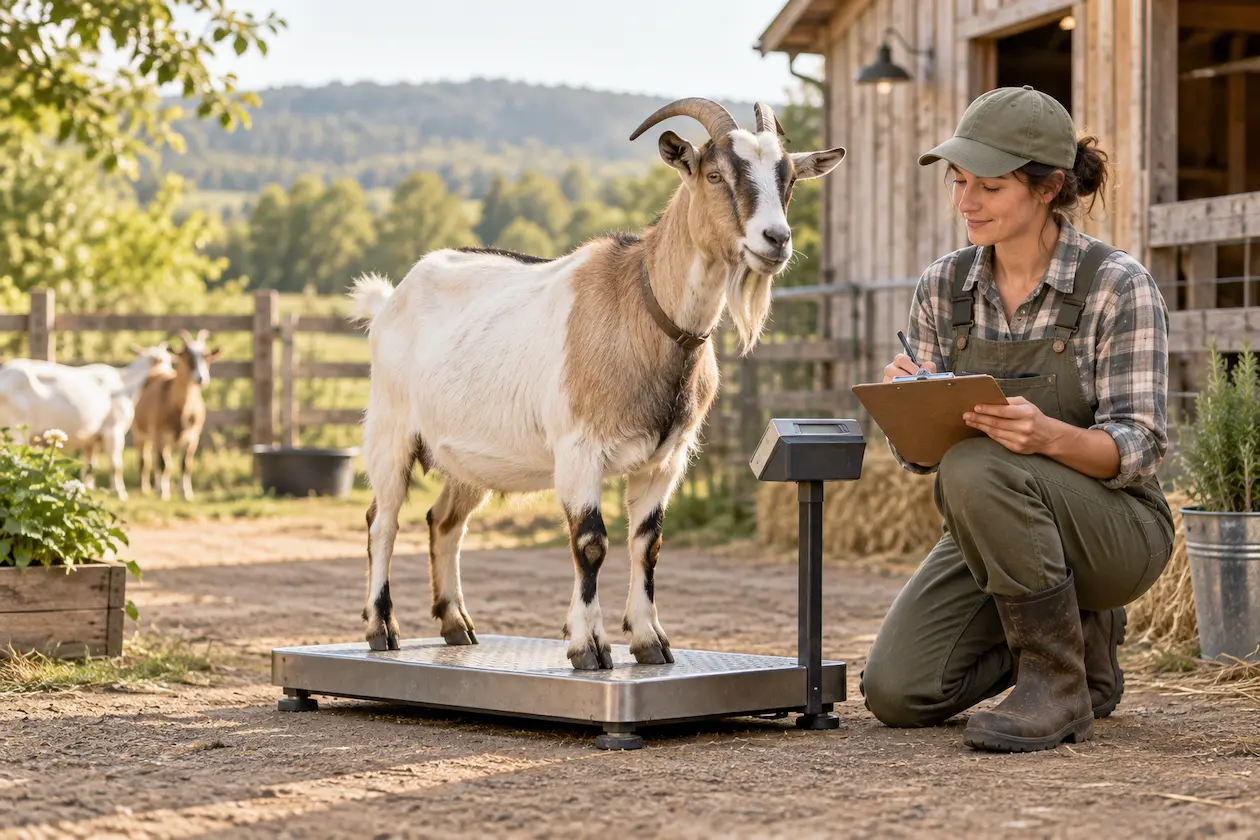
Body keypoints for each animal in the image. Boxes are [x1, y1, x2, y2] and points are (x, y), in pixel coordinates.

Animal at [0, 345, 174, 499]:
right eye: (164, 360)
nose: (171, 375)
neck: (125, 384)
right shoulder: (114, 430)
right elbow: (116, 466)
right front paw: (120, 493)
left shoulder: (91, 438)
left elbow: (90, 466)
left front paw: (87, 488)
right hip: (16, 431)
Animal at [133, 329, 220, 501]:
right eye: (186, 357)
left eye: (207, 357)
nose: (201, 378)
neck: (181, 410)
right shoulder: (160, 434)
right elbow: (162, 464)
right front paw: (163, 494)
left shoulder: (193, 436)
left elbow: (185, 464)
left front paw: (186, 494)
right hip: (140, 433)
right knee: (146, 460)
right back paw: (147, 489)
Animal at [348, 98, 845, 670]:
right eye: (715, 174)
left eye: (788, 179)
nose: (776, 240)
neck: (643, 307)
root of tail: (390, 299)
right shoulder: (579, 451)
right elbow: (591, 543)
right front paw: (589, 645)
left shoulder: (664, 461)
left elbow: (647, 544)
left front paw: (651, 640)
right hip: (390, 430)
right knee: (383, 521)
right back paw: (382, 628)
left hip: (468, 457)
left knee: (444, 521)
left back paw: (457, 624)